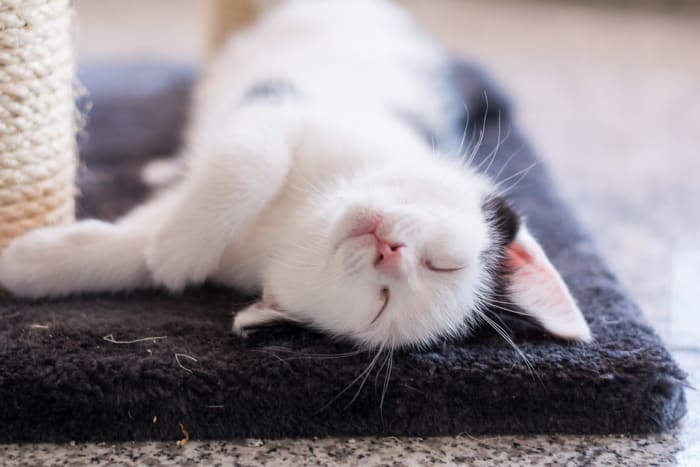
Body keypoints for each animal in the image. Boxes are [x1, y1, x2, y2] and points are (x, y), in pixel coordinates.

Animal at [0, 0, 592, 350]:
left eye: (383, 301)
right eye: (444, 262)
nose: (391, 250)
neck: (307, 216)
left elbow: (133, 252)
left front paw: (35, 262)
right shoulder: (284, 113)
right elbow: (253, 161)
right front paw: (180, 247)